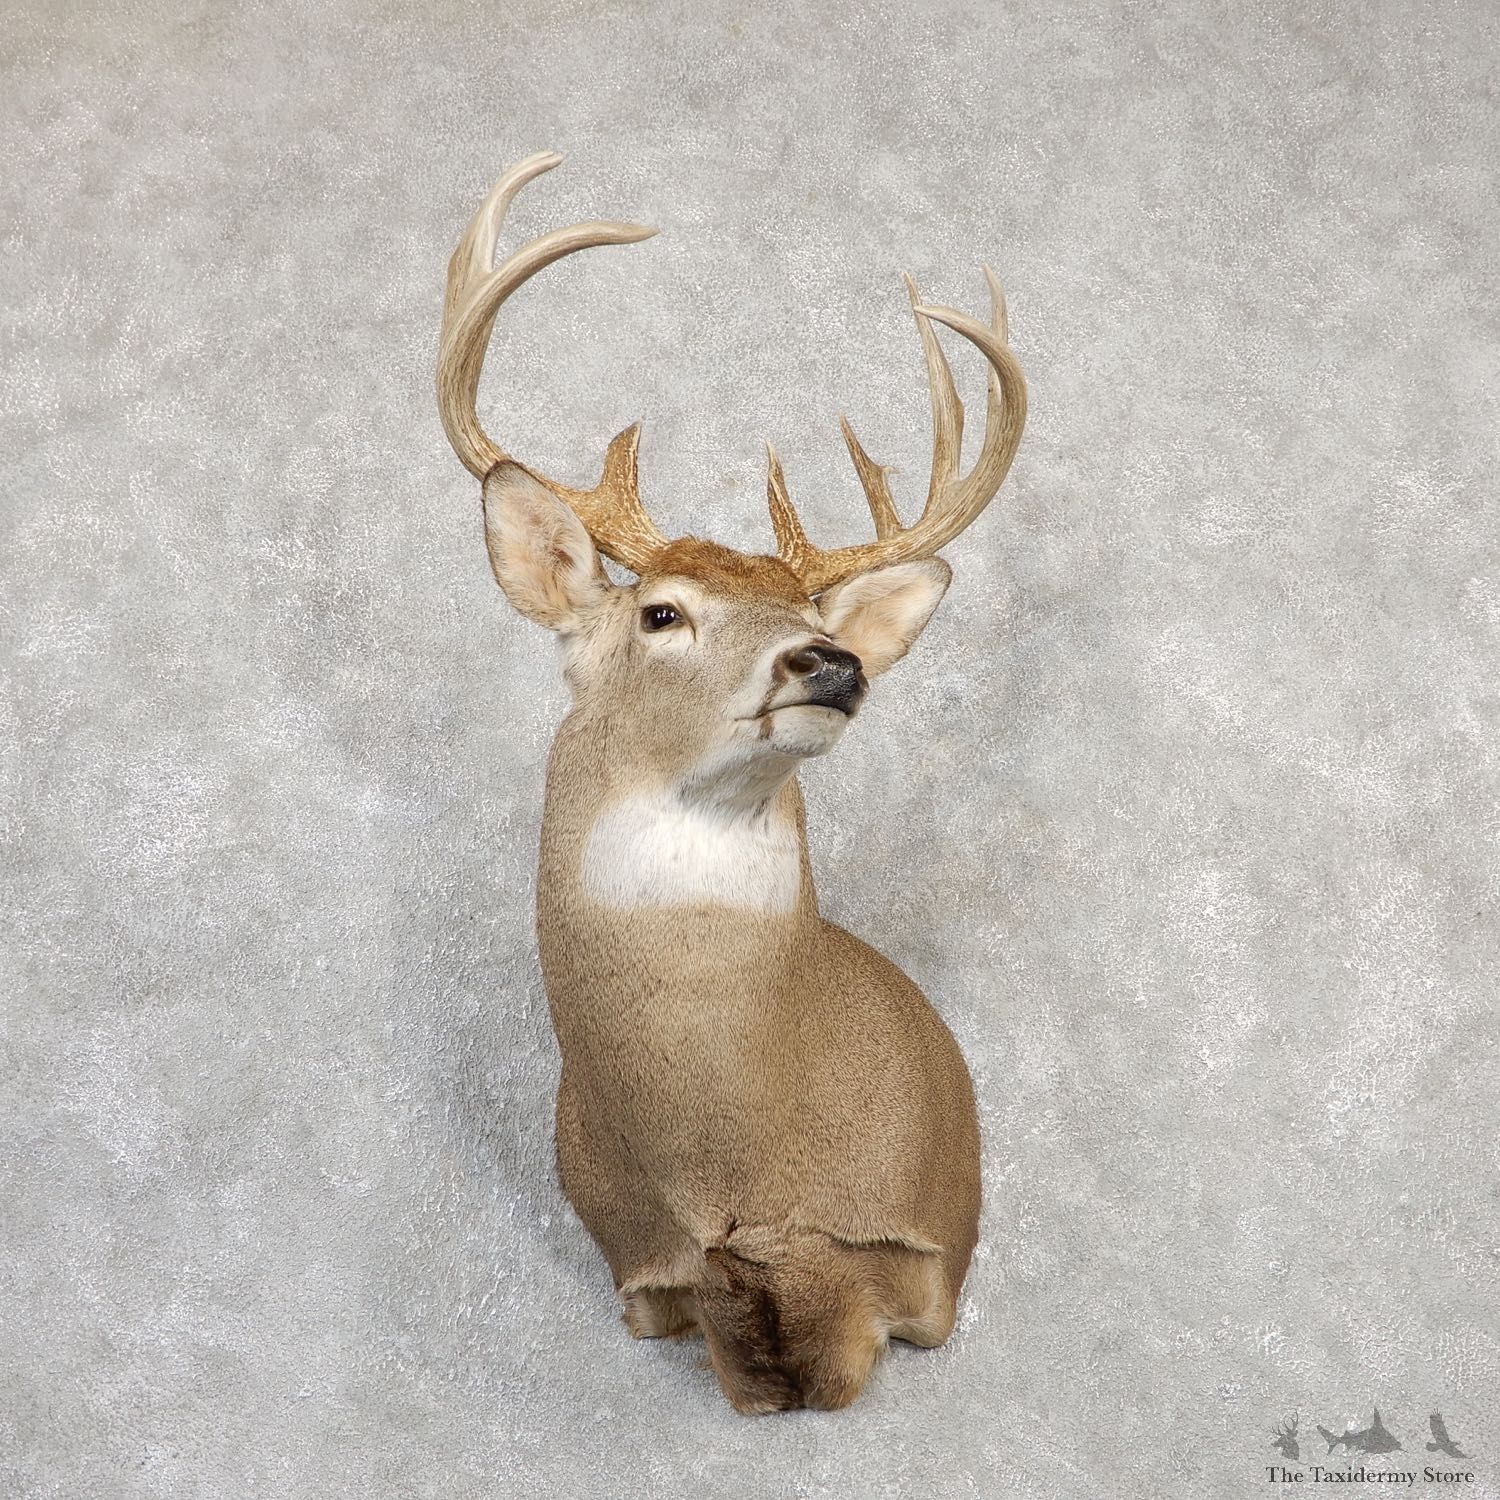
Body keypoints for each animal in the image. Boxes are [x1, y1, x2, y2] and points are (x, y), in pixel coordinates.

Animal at [436, 151, 1027, 1414]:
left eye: (813, 612)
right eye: (661, 613)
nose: (833, 661)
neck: (741, 1179)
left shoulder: (918, 1260)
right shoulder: (648, 1280)